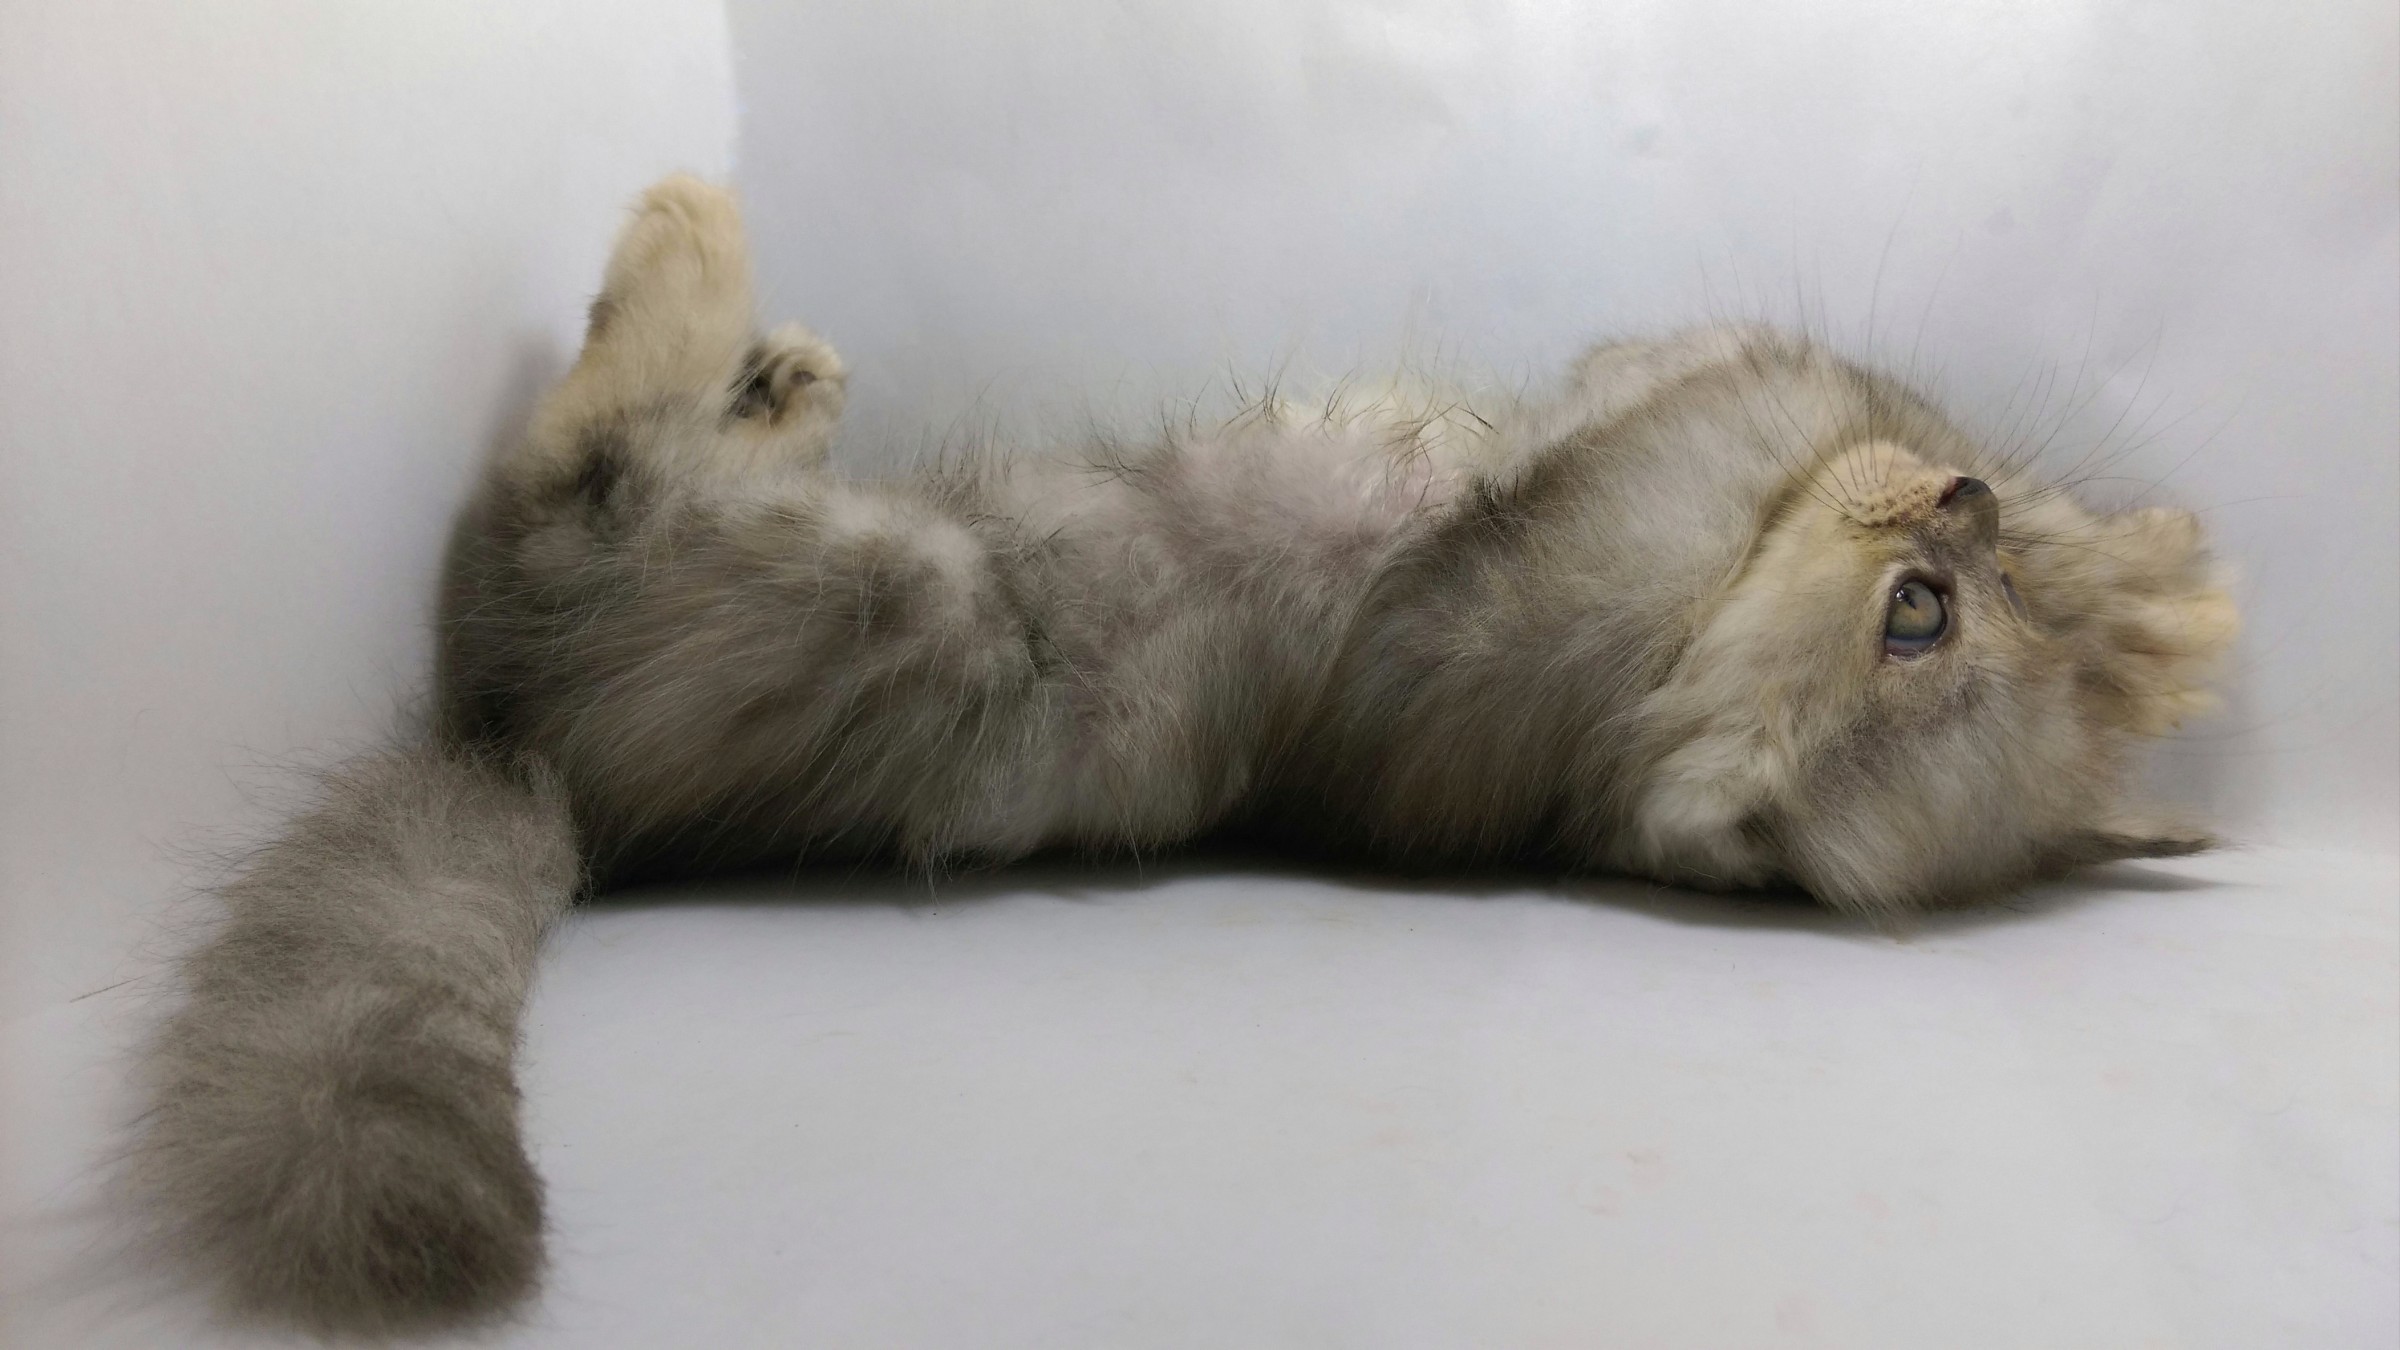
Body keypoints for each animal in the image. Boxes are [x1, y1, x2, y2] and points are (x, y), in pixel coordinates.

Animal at [130, 176, 2236, 1337]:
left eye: (1922, 622)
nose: (1962, 505)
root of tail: (523, 762)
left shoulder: (1535, 617)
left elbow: (1718, 398)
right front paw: (2126, 568)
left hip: (861, 593)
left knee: (553, 502)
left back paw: (691, 264)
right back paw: (780, 372)